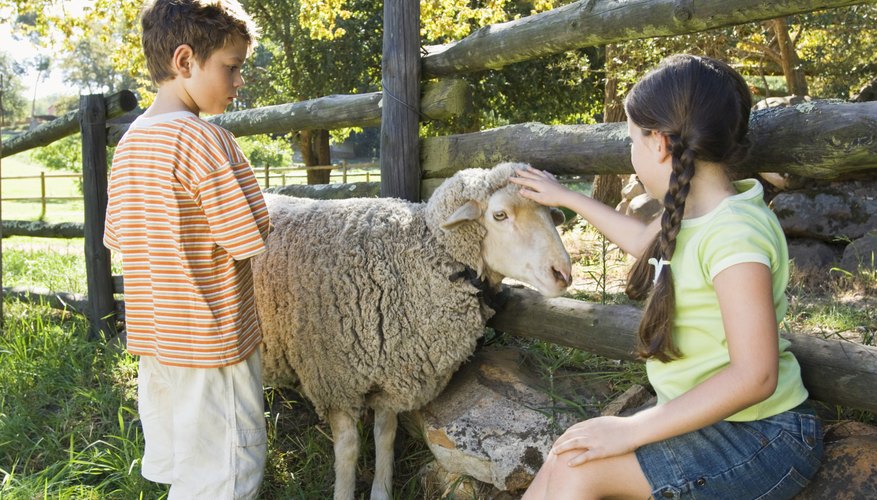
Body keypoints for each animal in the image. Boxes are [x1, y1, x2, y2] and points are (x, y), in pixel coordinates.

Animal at [250, 162, 572, 498]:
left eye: (549, 213)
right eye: (500, 215)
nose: (563, 273)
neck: (420, 259)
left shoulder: (395, 373)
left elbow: (385, 435)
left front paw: (381, 491)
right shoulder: (334, 379)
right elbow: (348, 449)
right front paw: (344, 491)